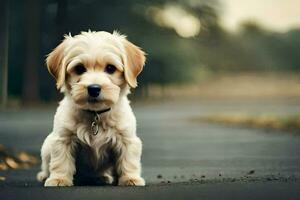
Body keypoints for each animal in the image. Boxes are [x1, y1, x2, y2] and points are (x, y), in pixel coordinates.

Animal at [35, 30, 146, 187]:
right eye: (79, 68)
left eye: (110, 68)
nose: (94, 88)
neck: (95, 113)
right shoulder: (62, 139)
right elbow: (60, 161)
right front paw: (59, 179)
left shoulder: (127, 139)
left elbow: (128, 161)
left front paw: (130, 178)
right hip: (46, 146)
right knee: (46, 165)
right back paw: (44, 175)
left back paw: (102, 177)